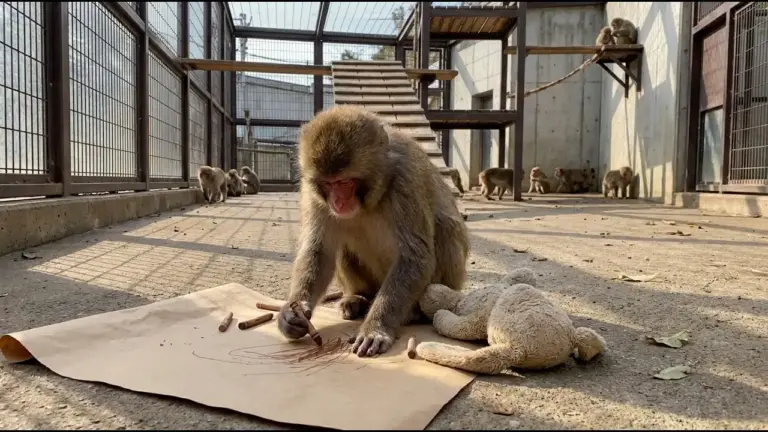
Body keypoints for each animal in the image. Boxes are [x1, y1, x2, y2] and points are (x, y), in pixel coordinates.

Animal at [276, 105, 469, 358]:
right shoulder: (313, 193)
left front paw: (375, 329)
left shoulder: (405, 181)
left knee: (446, 228)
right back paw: (358, 298)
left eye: (345, 182)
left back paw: (416, 312)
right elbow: (318, 251)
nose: (338, 202)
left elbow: (414, 257)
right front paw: (292, 313)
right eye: (328, 183)